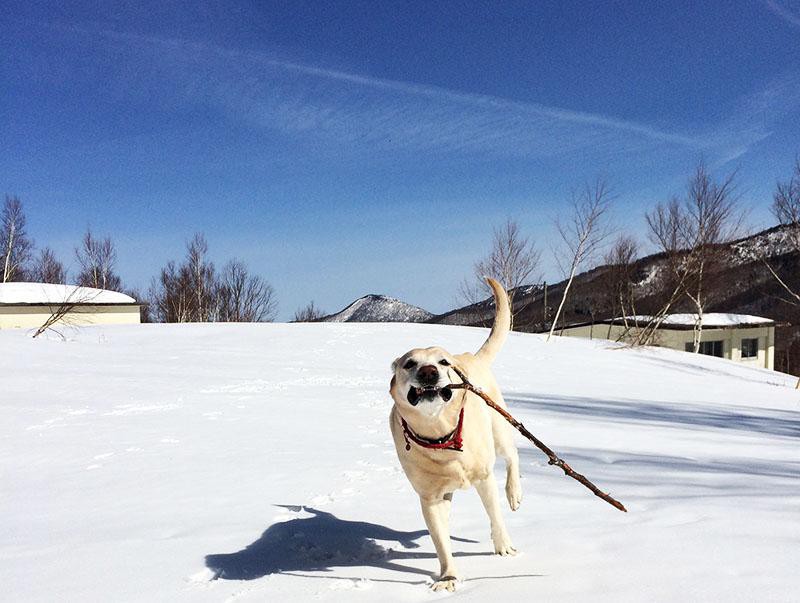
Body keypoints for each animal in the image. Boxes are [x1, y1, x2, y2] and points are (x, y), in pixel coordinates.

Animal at [390, 280, 524, 592]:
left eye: (442, 362)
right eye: (409, 364)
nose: (429, 372)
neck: (440, 435)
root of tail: (470, 357)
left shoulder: (484, 477)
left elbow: (495, 515)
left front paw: (504, 547)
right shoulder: (429, 497)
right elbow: (441, 541)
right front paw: (448, 577)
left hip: (497, 426)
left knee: (513, 454)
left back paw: (514, 492)